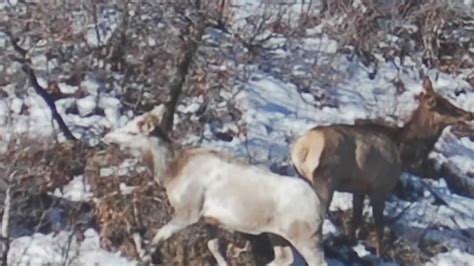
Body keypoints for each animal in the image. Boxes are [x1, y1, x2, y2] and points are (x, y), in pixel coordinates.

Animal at [290, 77, 472, 256]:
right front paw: (380, 254)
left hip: (304, 179)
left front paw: (351, 243)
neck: (404, 153)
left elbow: (356, 218)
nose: (469, 114)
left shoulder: (359, 188)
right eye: (446, 105)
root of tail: (303, 148)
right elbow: (379, 226)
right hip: (326, 181)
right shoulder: (380, 188)